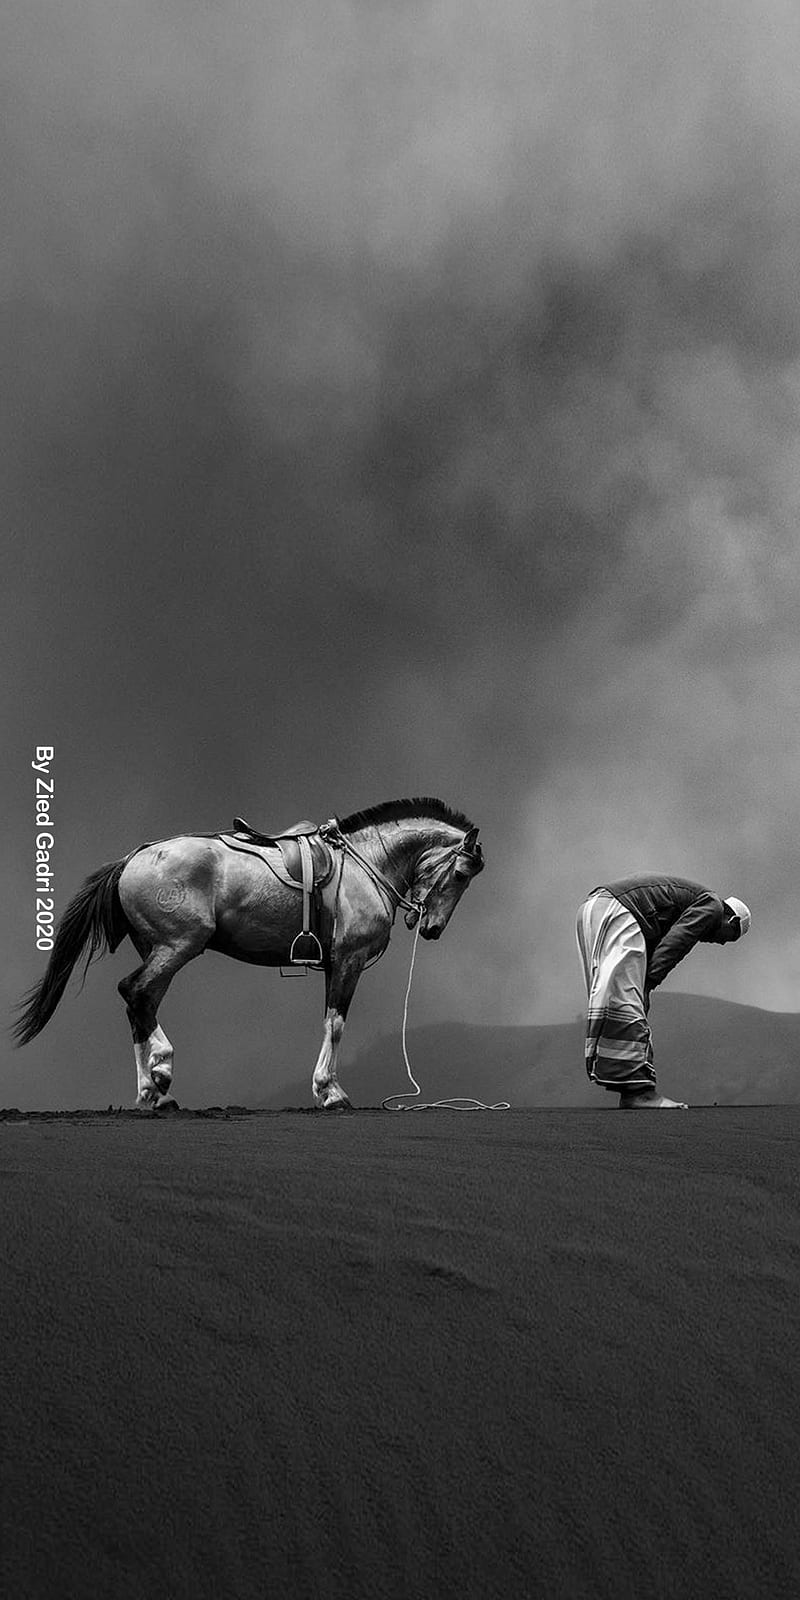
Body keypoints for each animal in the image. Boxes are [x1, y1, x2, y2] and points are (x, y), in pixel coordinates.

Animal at [14, 798, 484, 1110]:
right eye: (462, 873)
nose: (433, 928)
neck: (364, 863)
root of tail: (133, 858)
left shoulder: (334, 964)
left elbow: (329, 1021)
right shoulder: (348, 961)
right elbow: (335, 1024)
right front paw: (330, 1090)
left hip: (158, 948)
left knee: (142, 1003)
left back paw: (151, 1089)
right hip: (178, 944)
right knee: (135, 992)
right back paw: (160, 1073)